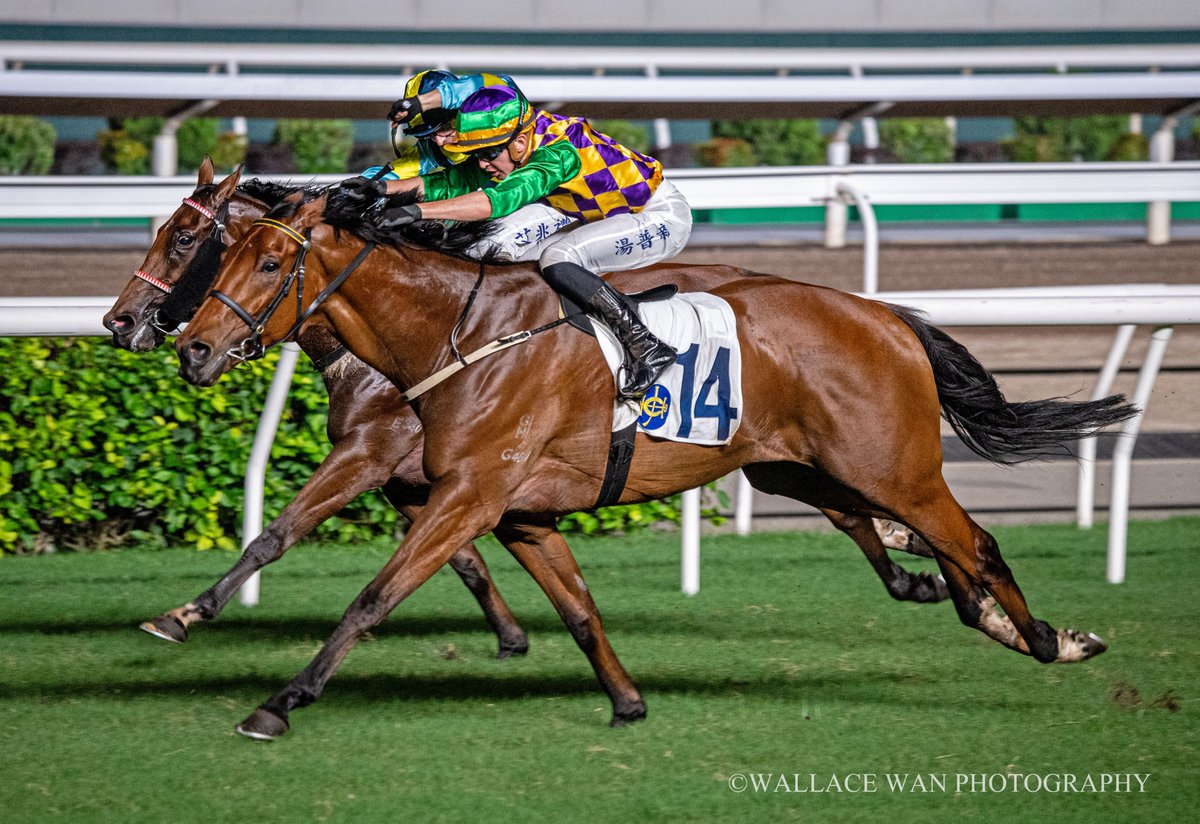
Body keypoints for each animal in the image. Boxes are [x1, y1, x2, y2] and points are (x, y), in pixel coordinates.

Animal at [101, 160, 529, 657]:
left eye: (184, 238)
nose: (119, 321)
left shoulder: (368, 453)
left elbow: (277, 533)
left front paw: (184, 615)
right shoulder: (404, 478)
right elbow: (464, 558)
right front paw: (511, 635)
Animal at [174, 191, 1136, 741]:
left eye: (267, 259)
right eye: (217, 252)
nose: (190, 347)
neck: (463, 333)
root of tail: (888, 317)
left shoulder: (468, 496)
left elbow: (373, 598)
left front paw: (280, 702)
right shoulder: (519, 512)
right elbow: (580, 611)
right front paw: (627, 702)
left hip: (897, 468)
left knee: (977, 545)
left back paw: (1049, 639)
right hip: (794, 467)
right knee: (917, 545)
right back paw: (972, 607)